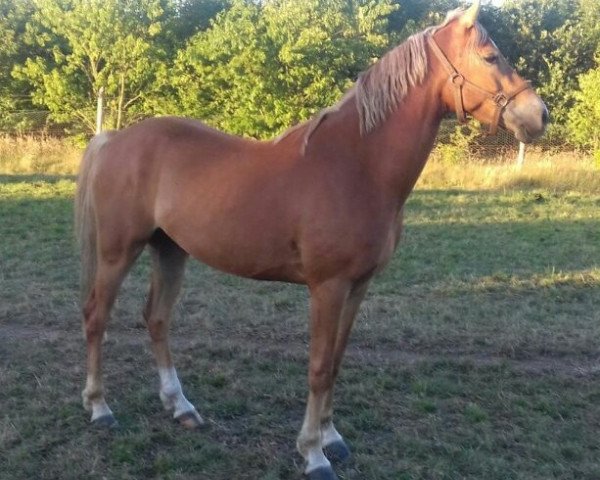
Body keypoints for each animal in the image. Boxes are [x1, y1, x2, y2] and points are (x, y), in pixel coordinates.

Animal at [76, 1, 548, 478]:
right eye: (490, 57)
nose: (539, 114)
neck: (357, 165)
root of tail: (113, 138)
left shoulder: (358, 286)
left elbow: (336, 361)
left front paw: (331, 437)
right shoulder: (328, 287)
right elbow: (319, 367)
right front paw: (313, 453)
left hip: (170, 250)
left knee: (156, 319)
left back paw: (181, 407)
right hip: (118, 252)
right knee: (97, 316)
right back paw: (99, 408)